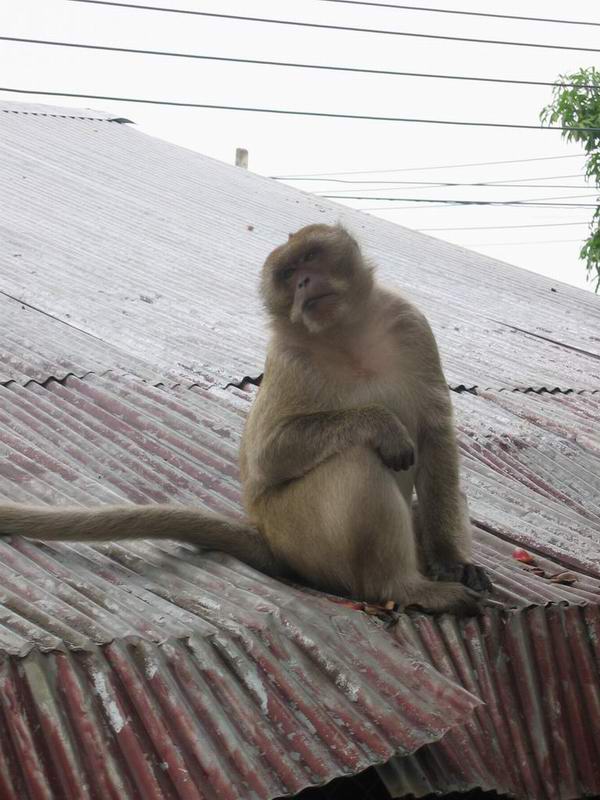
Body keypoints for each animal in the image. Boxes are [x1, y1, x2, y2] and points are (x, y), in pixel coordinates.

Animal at [0, 224, 491, 614]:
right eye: (287, 275)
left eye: (310, 258)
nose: (304, 281)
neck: (346, 336)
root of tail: (267, 536)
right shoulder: (290, 358)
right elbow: (269, 455)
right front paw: (383, 424)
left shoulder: (410, 325)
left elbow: (436, 435)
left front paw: (454, 562)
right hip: (299, 533)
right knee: (356, 461)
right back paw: (401, 587)